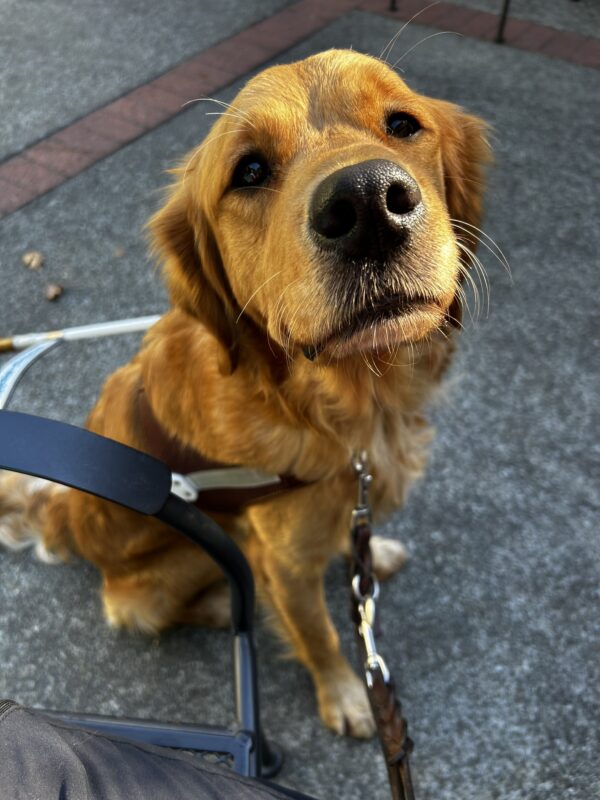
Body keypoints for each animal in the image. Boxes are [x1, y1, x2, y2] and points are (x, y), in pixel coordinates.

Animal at [0, 50, 488, 736]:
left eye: (402, 124)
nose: (368, 202)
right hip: (169, 571)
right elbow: (319, 635)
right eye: (250, 170)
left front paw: (374, 553)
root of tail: (65, 512)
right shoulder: (286, 560)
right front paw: (346, 696)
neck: (343, 407)